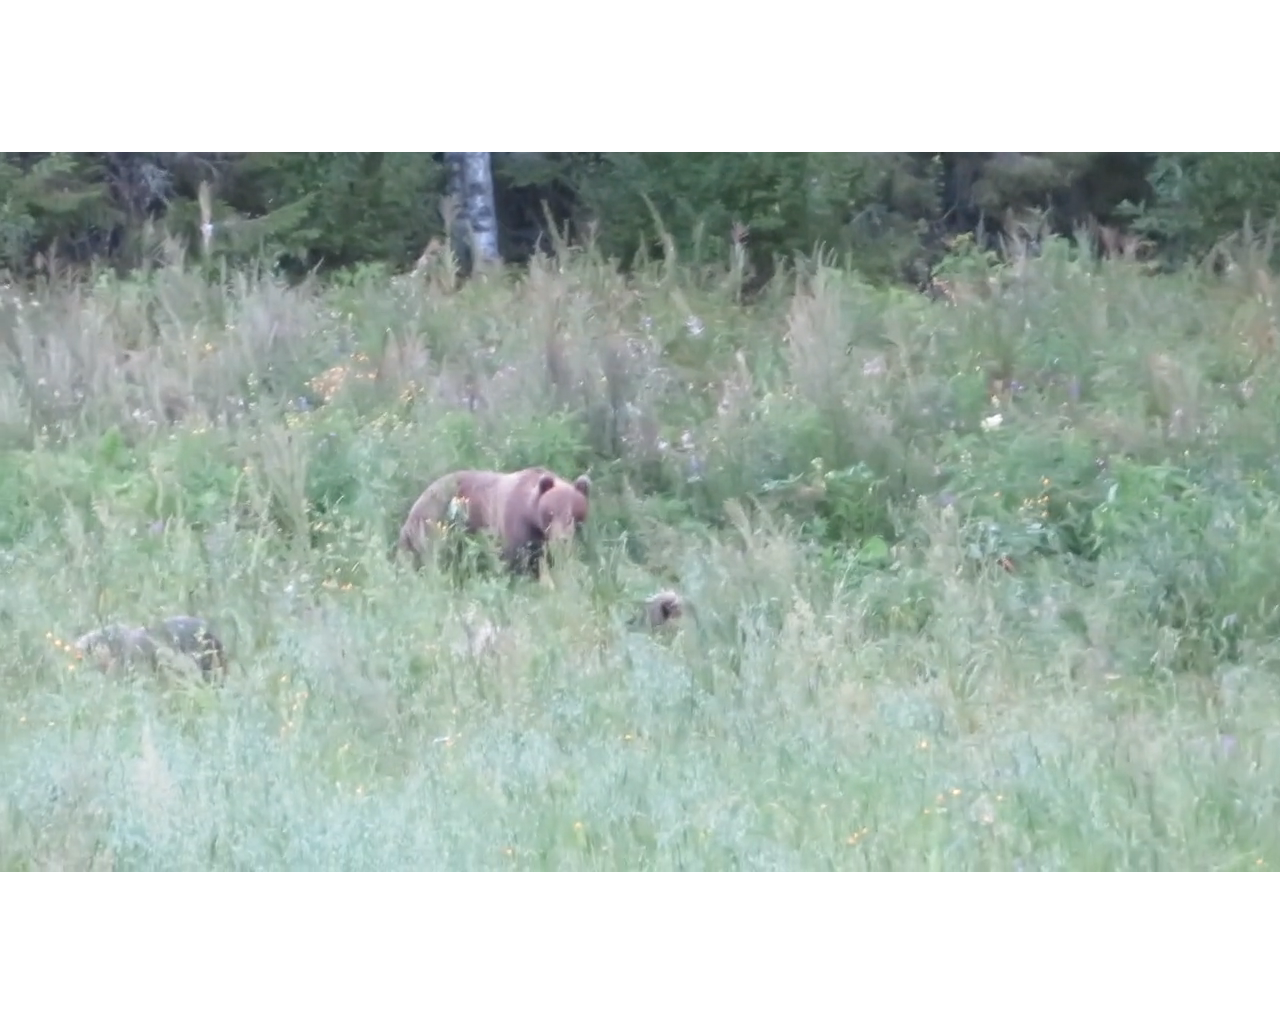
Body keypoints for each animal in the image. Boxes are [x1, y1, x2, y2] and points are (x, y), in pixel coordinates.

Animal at [396, 465, 591, 576]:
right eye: (550, 513)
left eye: (574, 514)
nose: (562, 539)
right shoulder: (514, 524)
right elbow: (517, 559)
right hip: (437, 521)